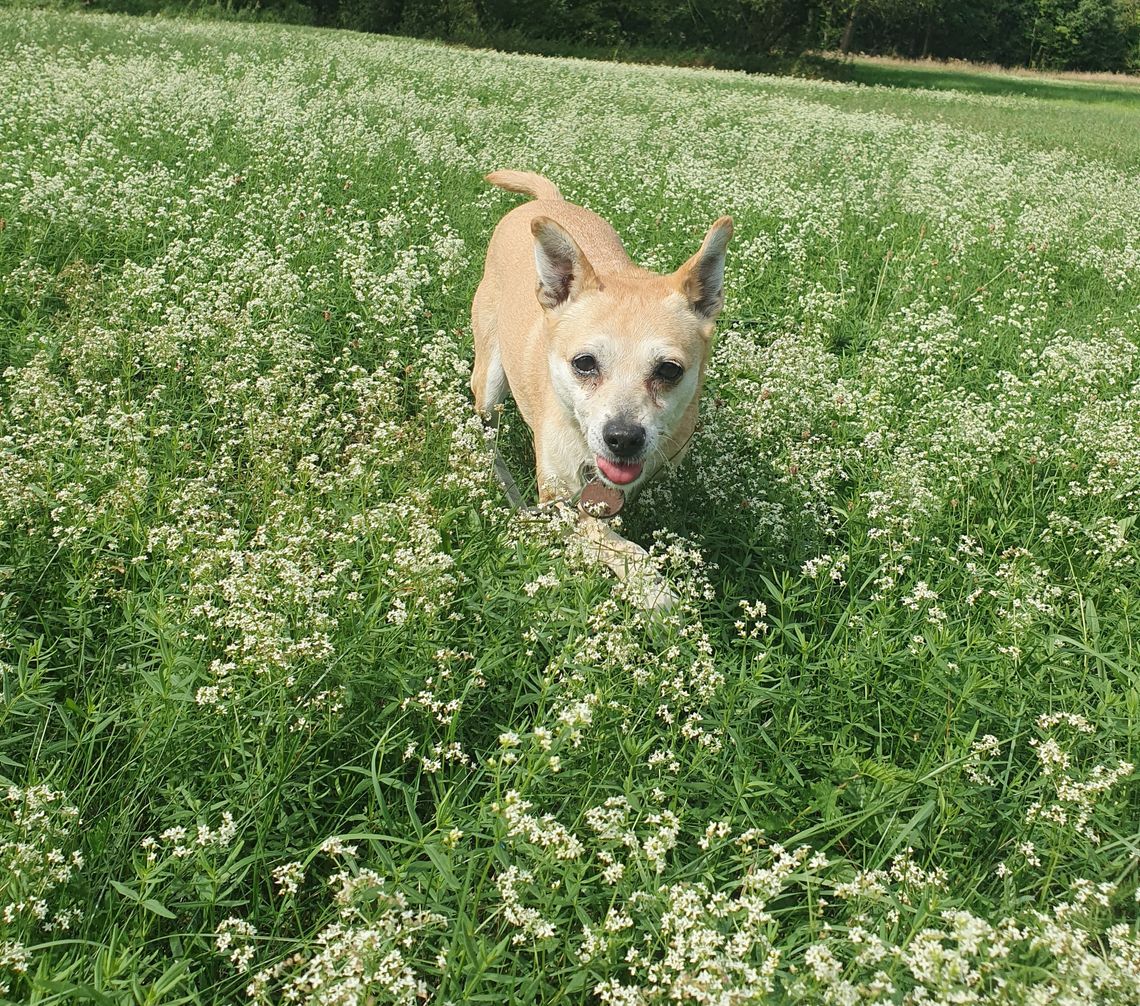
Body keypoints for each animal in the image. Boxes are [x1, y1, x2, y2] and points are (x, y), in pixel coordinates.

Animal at [469, 169, 729, 602]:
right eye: (584, 364)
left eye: (670, 371)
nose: (623, 438)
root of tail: (548, 201)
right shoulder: (558, 504)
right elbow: (618, 544)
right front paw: (655, 593)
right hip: (489, 376)